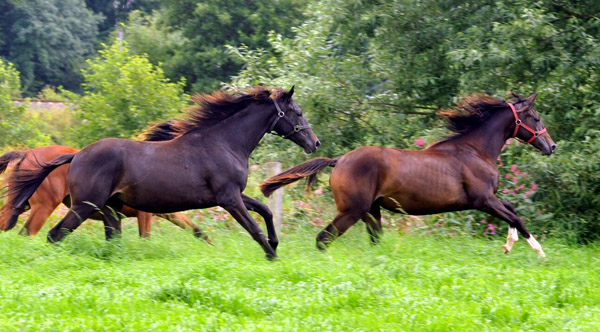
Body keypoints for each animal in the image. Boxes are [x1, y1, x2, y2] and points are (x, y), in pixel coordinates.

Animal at [1, 145, 210, 241]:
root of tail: (27, 153)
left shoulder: (167, 213)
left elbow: (196, 230)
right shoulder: (145, 214)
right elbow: (145, 237)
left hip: (20, 203)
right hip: (44, 207)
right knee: (27, 232)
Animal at [264, 92, 556, 256]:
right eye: (536, 118)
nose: (551, 146)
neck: (475, 150)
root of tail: (339, 160)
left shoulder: (489, 200)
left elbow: (512, 210)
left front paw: (509, 245)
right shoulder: (483, 200)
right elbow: (515, 216)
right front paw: (538, 251)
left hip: (371, 211)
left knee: (373, 240)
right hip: (352, 211)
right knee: (323, 239)